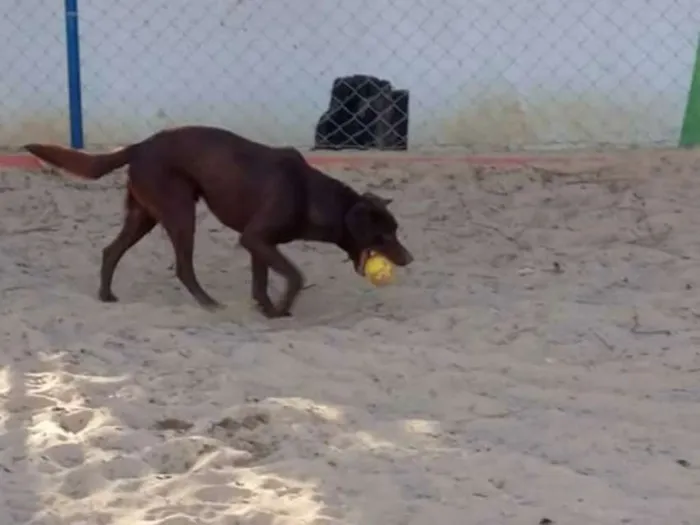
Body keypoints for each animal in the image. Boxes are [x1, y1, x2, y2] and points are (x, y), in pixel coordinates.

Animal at [24, 125, 412, 318]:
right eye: (383, 235)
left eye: (396, 230)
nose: (409, 259)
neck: (311, 195)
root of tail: (138, 147)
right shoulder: (255, 239)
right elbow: (295, 276)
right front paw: (282, 307)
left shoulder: (259, 243)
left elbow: (261, 282)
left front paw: (268, 310)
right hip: (181, 212)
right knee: (183, 268)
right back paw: (208, 303)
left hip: (143, 216)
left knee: (110, 251)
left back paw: (105, 296)